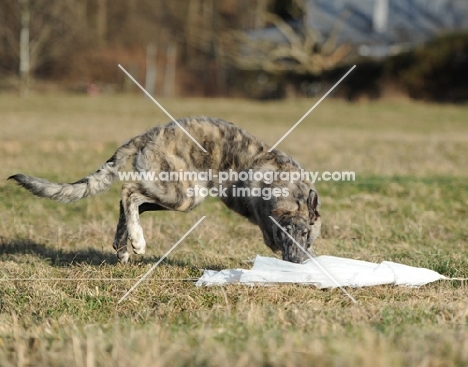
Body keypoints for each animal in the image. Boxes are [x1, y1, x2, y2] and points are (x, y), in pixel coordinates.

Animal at [8, 116, 322, 264]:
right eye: (289, 235)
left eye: (307, 237)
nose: (297, 263)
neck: (291, 193)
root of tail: (147, 135)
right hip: (183, 195)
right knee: (129, 191)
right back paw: (137, 242)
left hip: (176, 193)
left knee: (130, 204)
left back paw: (123, 247)